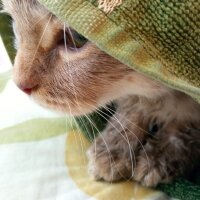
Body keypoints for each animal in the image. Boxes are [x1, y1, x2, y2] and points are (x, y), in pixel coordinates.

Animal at [1, 0, 200, 187]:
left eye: (78, 37)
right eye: (12, 19)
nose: (20, 84)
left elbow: (185, 128)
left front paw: (160, 155)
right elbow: (131, 109)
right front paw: (113, 148)